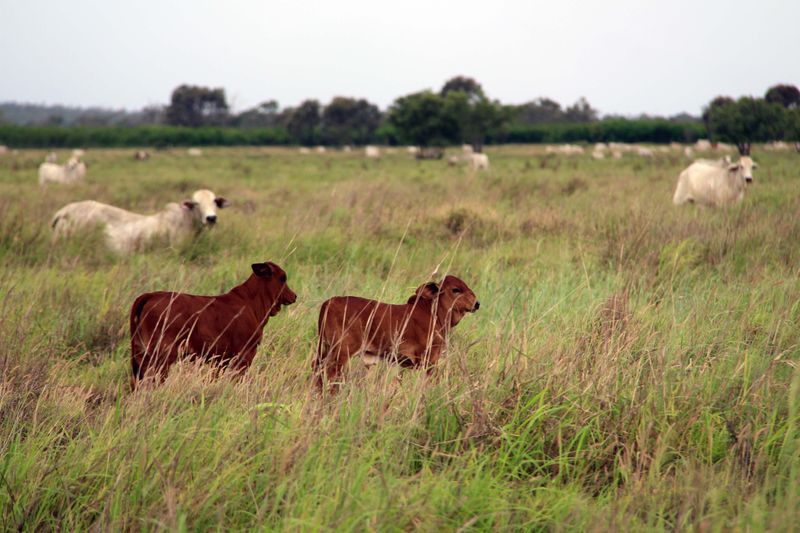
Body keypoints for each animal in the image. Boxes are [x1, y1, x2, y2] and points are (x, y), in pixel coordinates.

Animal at [129, 261, 296, 390]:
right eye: (282, 278)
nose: (294, 296)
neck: (251, 303)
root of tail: (150, 295)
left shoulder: (220, 360)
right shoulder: (245, 354)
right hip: (161, 357)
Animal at [313, 275, 479, 392]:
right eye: (456, 289)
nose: (477, 304)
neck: (435, 314)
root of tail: (329, 302)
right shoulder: (428, 360)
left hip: (325, 349)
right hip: (341, 352)